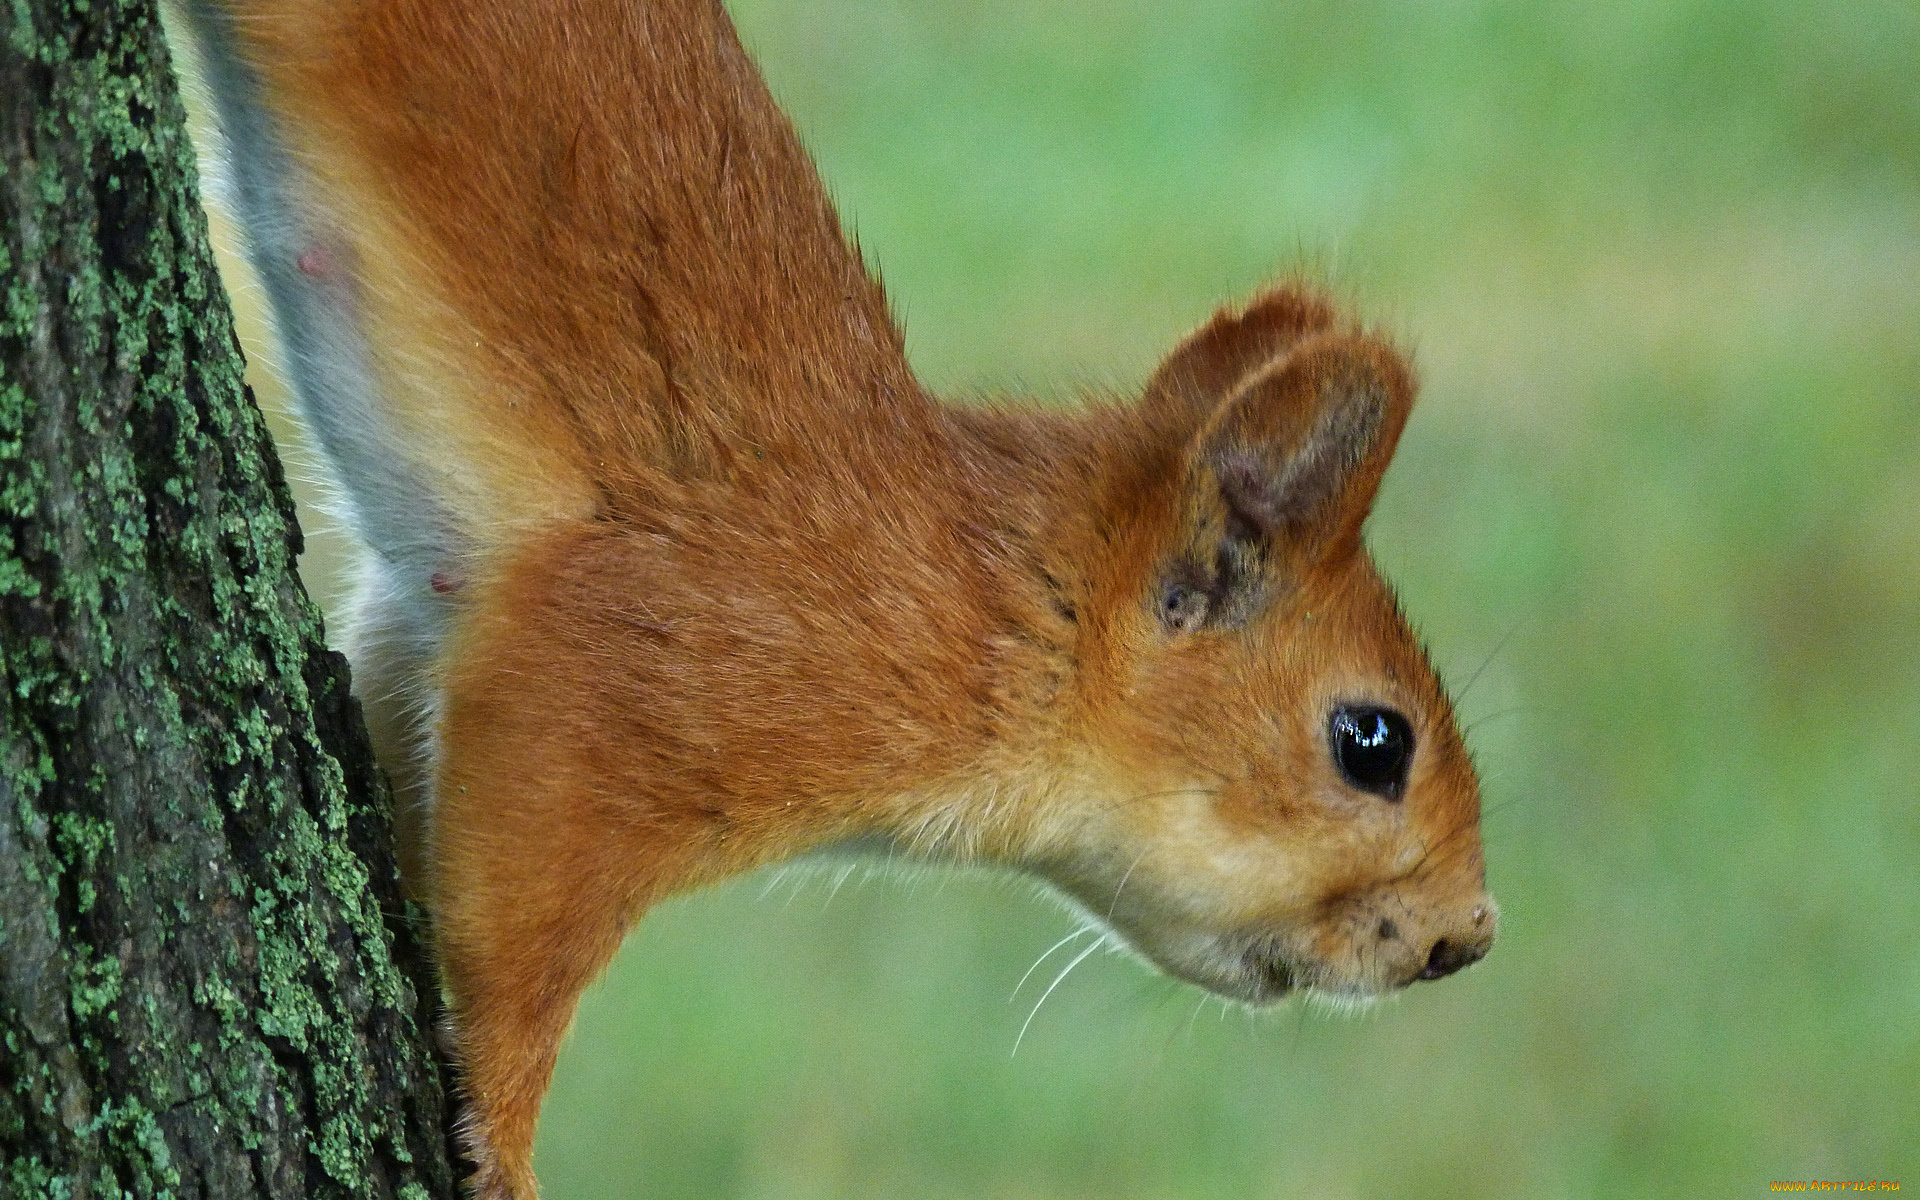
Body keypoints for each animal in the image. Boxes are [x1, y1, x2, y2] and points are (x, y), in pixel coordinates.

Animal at [180, 0, 1497, 1190]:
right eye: (1373, 743)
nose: (1467, 938)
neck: (996, 611)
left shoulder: (421, 630)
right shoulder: (627, 669)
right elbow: (510, 943)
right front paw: (502, 1151)